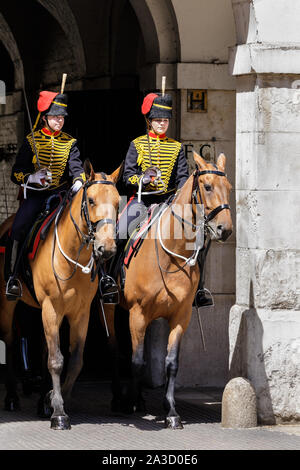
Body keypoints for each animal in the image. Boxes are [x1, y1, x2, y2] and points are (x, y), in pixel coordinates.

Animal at [0, 162, 120, 430]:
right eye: (91, 200)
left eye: (118, 202)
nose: (106, 248)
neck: (74, 255)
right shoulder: (51, 308)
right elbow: (56, 360)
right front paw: (58, 413)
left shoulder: (80, 313)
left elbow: (75, 361)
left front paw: (53, 399)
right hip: (8, 305)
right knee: (11, 343)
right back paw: (11, 397)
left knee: (44, 348)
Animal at [104, 151, 233, 430]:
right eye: (207, 187)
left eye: (229, 187)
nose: (225, 229)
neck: (171, 254)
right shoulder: (138, 313)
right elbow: (137, 361)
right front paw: (129, 403)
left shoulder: (180, 315)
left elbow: (171, 363)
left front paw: (171, 411)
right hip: (111, 308)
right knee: (115, 349)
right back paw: (119, 399)